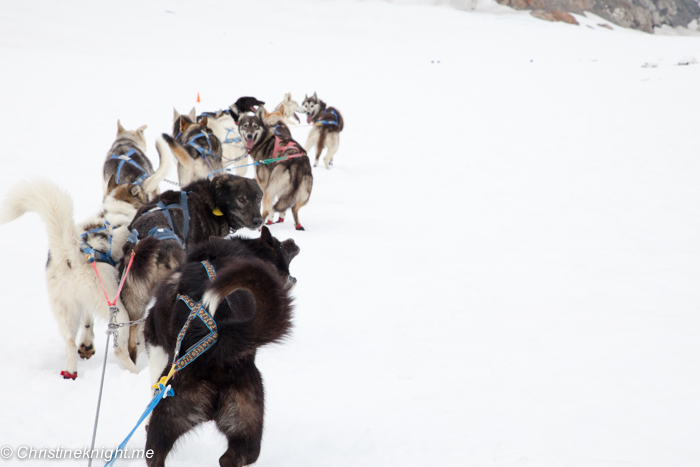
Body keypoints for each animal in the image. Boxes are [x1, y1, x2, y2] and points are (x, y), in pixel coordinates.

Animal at [144, 226, 296, 464]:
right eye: (280, 244)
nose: (292, 240)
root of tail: (214, 346)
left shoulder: (153, 335)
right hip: (245, 421)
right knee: (231, 457)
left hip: (166, 415)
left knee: (154, 453)